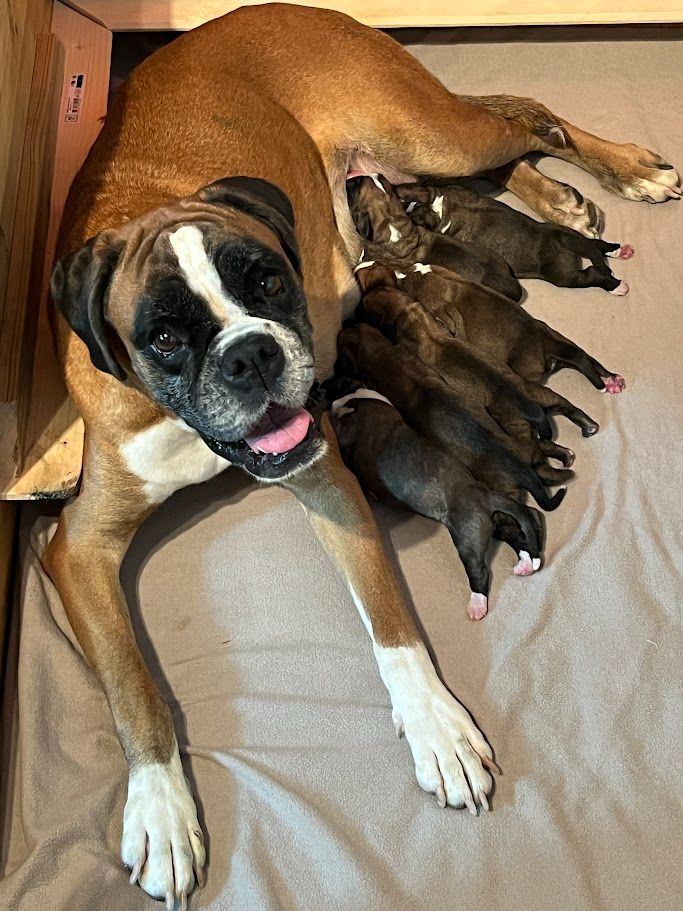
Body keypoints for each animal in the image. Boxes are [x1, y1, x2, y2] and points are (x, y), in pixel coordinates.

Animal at [329, 381, 544, 622]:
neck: (359, 395)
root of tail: (484, 493)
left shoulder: (349, 428)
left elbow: (339, 427)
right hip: (496, 523)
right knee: (522, 528)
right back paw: (526, 564)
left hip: (467, 538)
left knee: (480, 572)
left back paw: (477, 605)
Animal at [396, 180, 633, 294]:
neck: (437, 208)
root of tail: (560, 239)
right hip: (569, 233)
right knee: (596, 243)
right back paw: (620, 250)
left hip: (564, 275)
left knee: (592, 273)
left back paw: (618, 287)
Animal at [400, 264, 627, 394]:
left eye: (411, 286)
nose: (405, 270)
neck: (446, 281)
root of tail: (546, 344)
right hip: (564, 342)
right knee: (587, 358)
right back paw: (612, 379)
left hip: (524, 371)